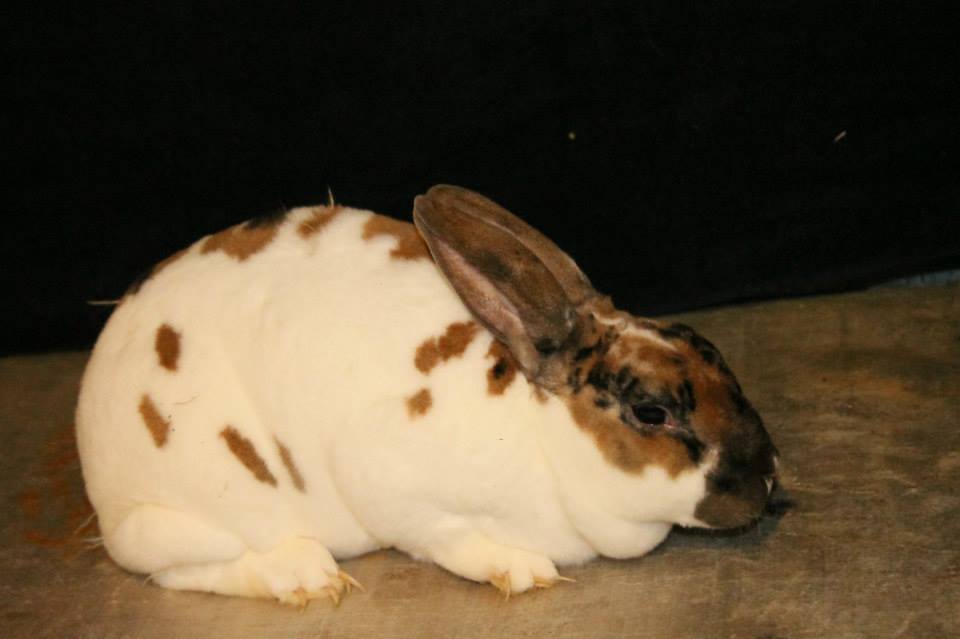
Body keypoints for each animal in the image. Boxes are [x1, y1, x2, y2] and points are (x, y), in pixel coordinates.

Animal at [75, 185, 779, 605]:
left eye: (710, 352)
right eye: (651, 412)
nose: (768, 479)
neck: (539, 436)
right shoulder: (385, 478)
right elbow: (446, 539)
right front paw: (521, 568)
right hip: (196, 511)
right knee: (179, 567)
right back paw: (307, 575)